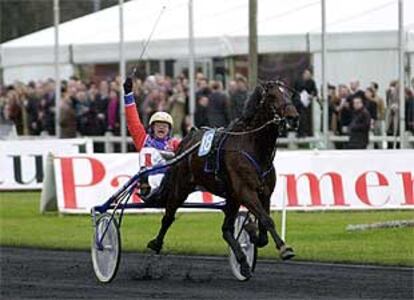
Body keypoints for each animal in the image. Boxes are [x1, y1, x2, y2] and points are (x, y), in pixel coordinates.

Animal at [145, 81, 298, 278]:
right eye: (272, 96)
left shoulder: (264, 194)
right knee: (168, 218)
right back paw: (156, 243)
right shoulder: (246, 191)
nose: (294, 118)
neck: (252, 146)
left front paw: (251, 232)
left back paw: (243, 262)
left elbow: (263, 228)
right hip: (180, 188)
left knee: (226, 230)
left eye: (290, 94)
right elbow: (266, 220)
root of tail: (186, 141)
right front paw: (284, 248)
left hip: (231, 198)